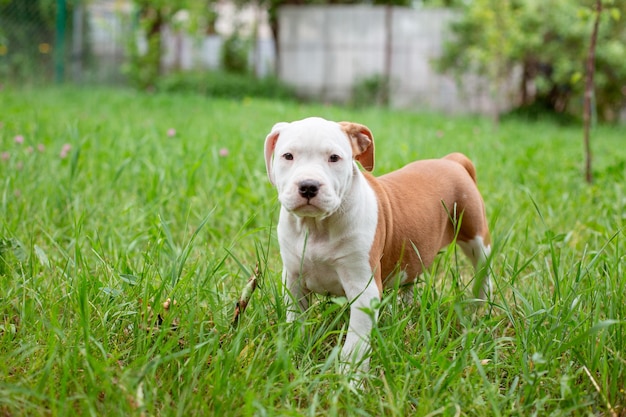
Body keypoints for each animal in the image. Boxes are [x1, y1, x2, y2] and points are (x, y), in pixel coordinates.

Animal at [260, 118, 490, 374]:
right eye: (288, 156)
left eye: (334, 158)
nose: (308, 186)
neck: (317, 226)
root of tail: (451, 161)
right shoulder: (293, 279)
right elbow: (295, 318)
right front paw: (291, 352)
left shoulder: (364, 288)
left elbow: (356, 342)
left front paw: (350, 376)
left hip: (475, 234)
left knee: (483, 271)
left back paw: (479, 309)